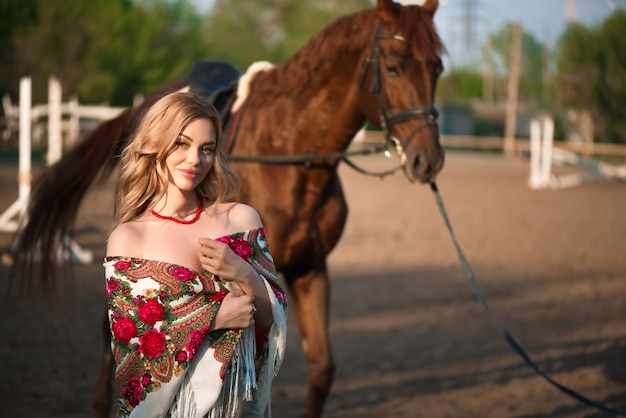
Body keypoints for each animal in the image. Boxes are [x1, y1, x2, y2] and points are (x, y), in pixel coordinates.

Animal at [13, 1, 444, 416]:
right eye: (393, 67)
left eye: (437, 68)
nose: (428, 160)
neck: (291, 154)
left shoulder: (310, 267)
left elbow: (322, 369)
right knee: (111, 332)